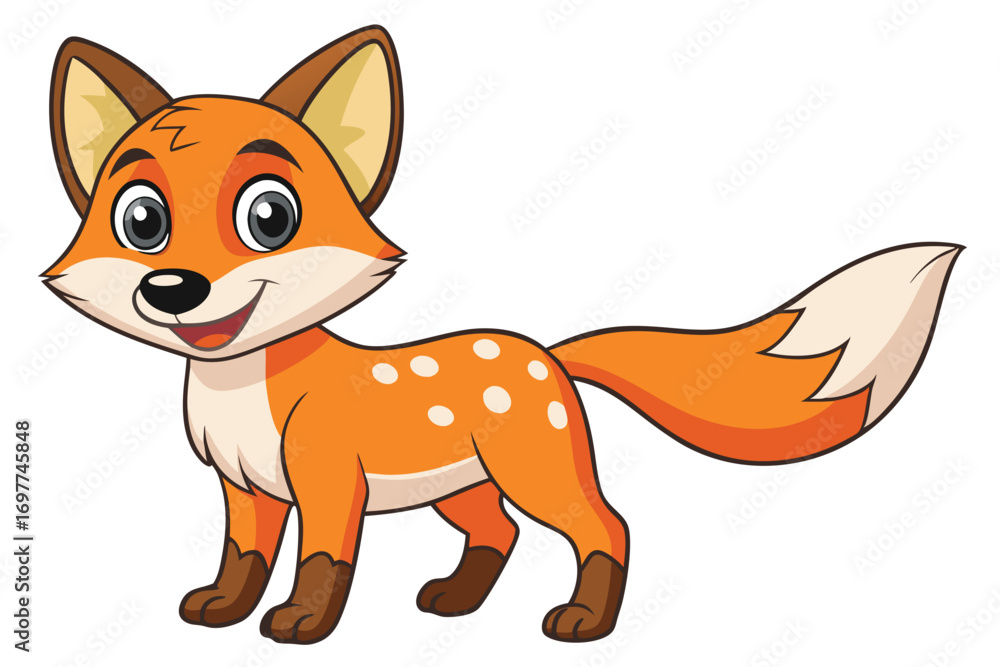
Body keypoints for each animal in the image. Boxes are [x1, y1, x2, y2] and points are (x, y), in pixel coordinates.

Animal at [44, 26, 961, 645]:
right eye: (142, 221)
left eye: (269, 216)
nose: (173, 289)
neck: (243, 389)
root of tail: (543, 353)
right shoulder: (246, 488)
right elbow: (241, 558)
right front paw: (222, 611)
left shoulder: (327, 484)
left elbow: (322, 563)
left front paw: (302, 623)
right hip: (464, 486)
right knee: (502, 534)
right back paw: (456, 601)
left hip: (534, 471)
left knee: (606, 527)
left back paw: (584, 621)